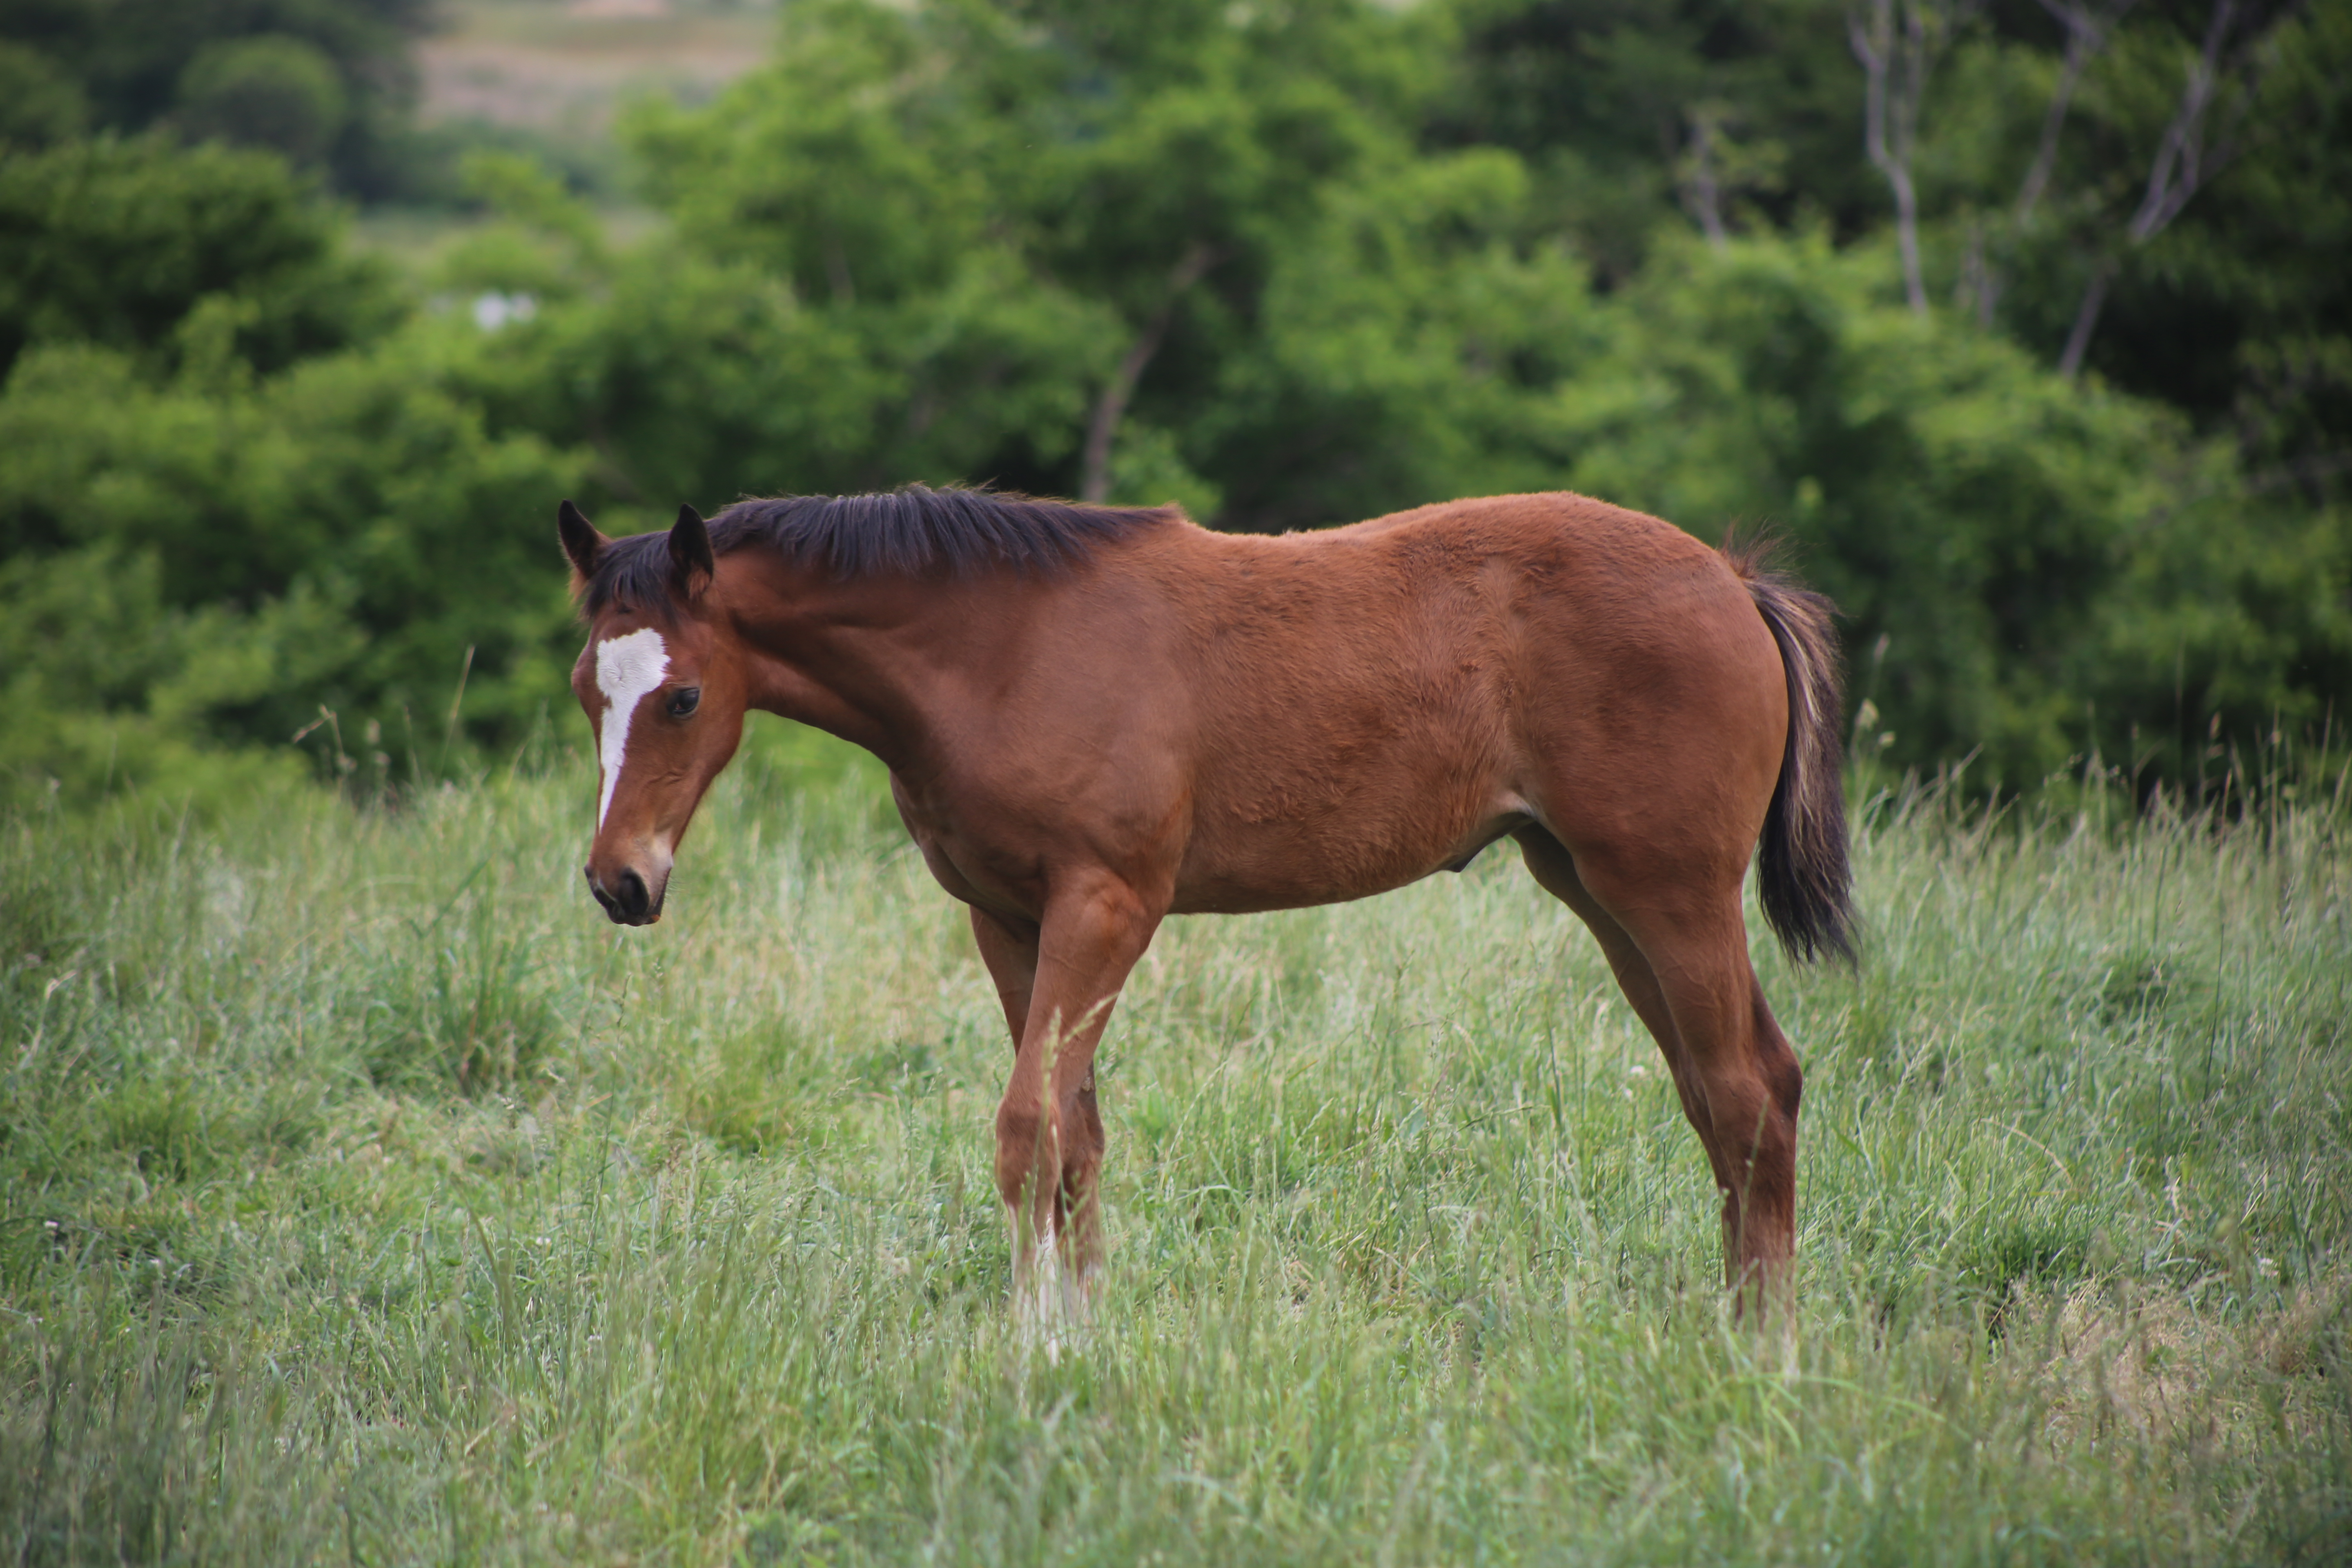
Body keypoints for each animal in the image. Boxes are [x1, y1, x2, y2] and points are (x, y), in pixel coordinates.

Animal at [559, 491, 1844, 1326]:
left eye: (681, 697)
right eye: (586, 690)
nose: (620, 881)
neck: (1003, 650)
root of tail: (1732, 581)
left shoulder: (1107, 904)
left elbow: (1027, 1126)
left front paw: (1026, 1348)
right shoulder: (1007, 918)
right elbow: (1075, 1133)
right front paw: (1083, 1333)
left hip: (1669, 891)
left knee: (1745, 1090)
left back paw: (1763, 1351)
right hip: (1594, 888)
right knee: (1730, 1089)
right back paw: (1736, 1320)